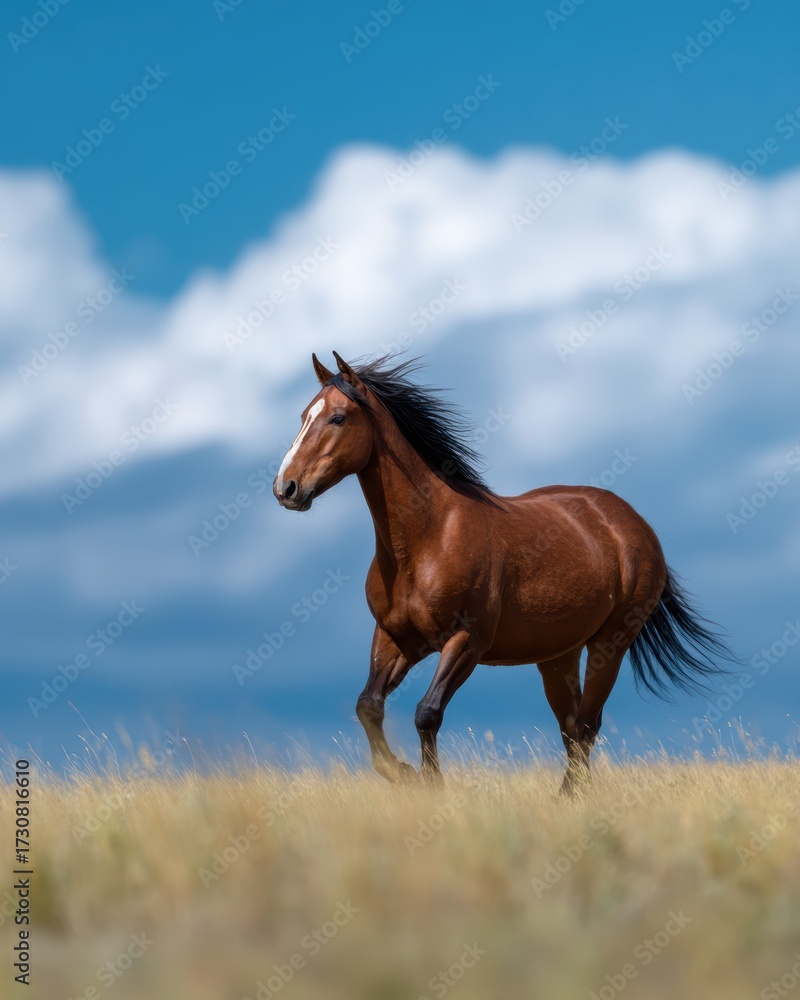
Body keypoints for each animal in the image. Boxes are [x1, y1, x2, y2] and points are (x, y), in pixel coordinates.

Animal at [273, 352, 731, 792]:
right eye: (303, 416)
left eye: (338, 417)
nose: (286, 488)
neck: (426, 540)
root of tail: (632, 523)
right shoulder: (396, 638)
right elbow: (368, 706)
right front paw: (402, 773)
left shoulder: (467, 641)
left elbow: (427, 713)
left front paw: (430, 783)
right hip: (557, 656)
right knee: (571, 728)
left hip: (610, 642)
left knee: (586, 725)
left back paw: (570, 797)